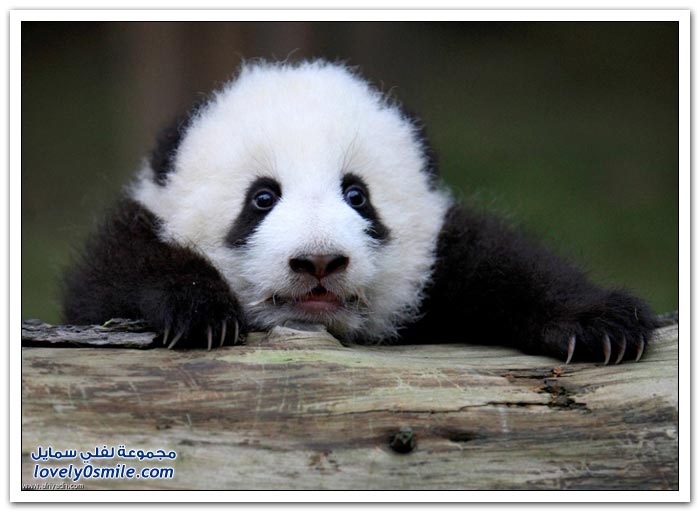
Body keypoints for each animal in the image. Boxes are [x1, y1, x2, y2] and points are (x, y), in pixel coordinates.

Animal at [62, 59, 656, 364]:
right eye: (262, 198)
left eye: (357, 195)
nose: (319, 262)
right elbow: (112, 275)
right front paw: (198, 310)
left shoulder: (440, 252)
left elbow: (503, 261)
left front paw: (600, 326)